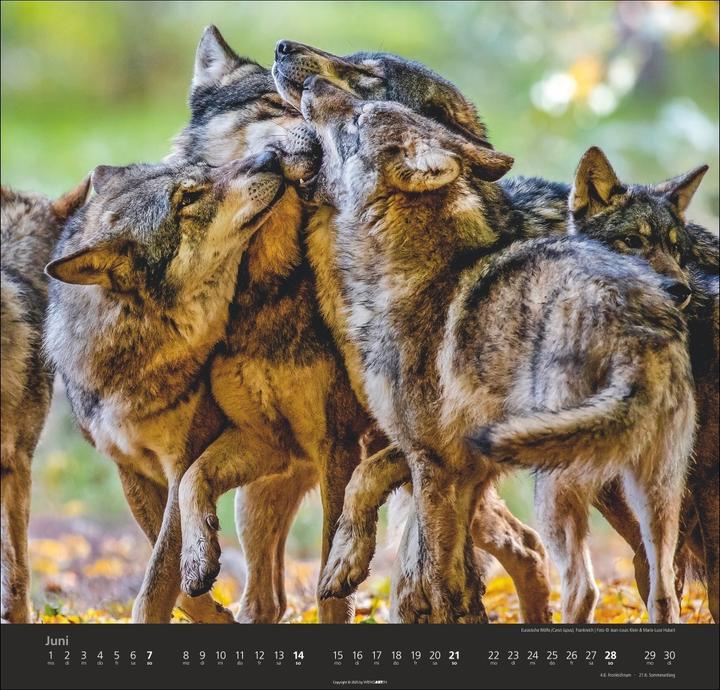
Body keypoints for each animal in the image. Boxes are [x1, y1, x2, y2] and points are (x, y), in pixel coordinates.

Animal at [44, 154, 291, 623]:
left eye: (206, 167)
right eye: (188, 198)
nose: (269, 155)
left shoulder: (184, 466)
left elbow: (158, 579)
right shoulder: (133, 473)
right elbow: (167, 575)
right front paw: (212, 609)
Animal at [274, 40, 718, 621]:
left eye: (365, 87)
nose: (285, 54)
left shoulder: (432, 456)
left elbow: (427, 567)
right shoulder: (445, 457)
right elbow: (424, 551)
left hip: (582, 479)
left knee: (595, 581)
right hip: (645, 485)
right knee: (654, 581)